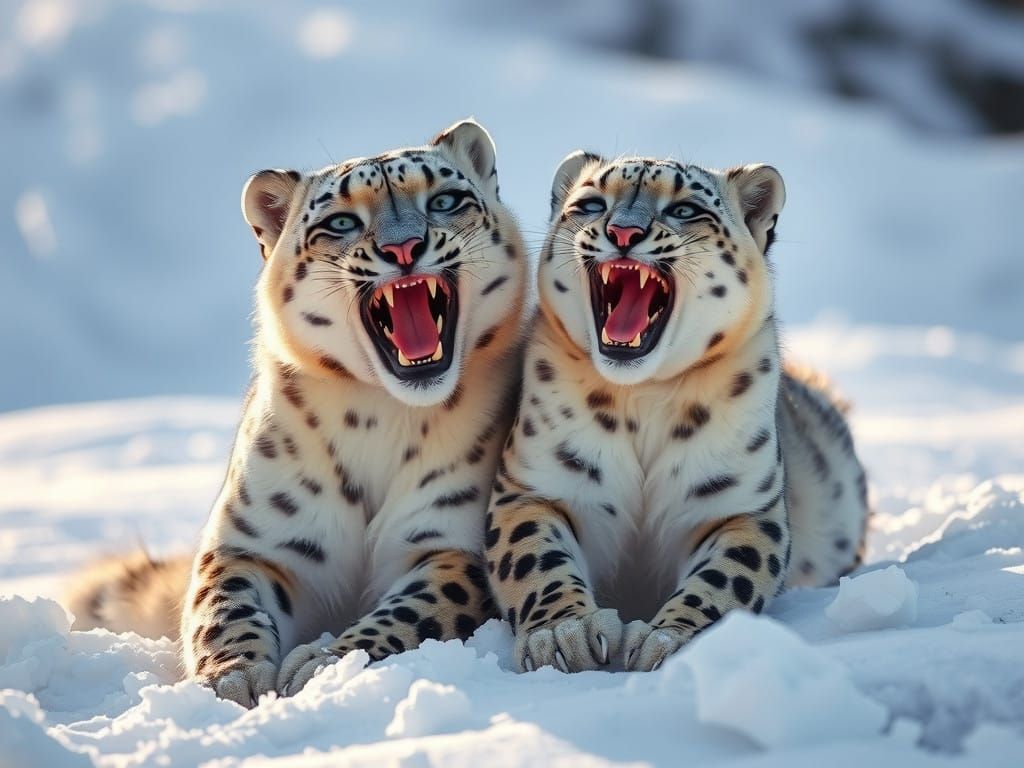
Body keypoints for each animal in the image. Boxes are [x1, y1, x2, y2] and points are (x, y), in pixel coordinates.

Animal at [66, 119, 528, 706]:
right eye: (342, 221)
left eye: (445, 199)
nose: (404, 248)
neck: (377, 418)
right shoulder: (252, 543)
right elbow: (224, 606)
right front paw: (233, 679)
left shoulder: (451, 542)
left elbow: (414, 610)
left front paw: (324, 664)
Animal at [484, 151, 869, 675]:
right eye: (591, 203)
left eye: (685, 209)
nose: (623, 232)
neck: (642, 400)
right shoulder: (533, 487)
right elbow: (534, 558)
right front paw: (564, 635)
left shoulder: (743, 508)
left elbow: (727, 577)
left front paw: (668, 642)